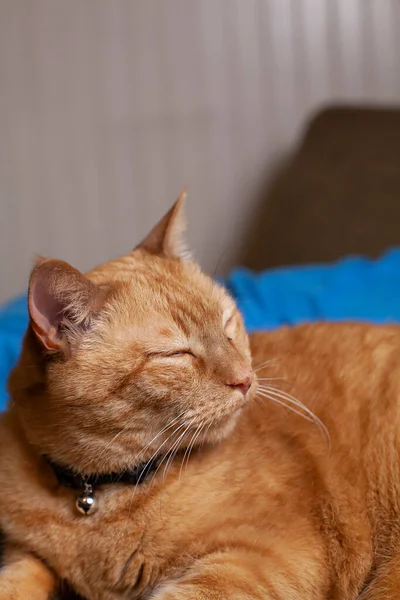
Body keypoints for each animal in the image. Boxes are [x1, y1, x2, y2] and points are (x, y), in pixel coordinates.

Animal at [0, 193, 400, 600]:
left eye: (227, 324)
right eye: (176, 354)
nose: (245, 379)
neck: (94, 495)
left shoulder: (262, 559)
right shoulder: (24, 552)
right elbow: (17, 577)